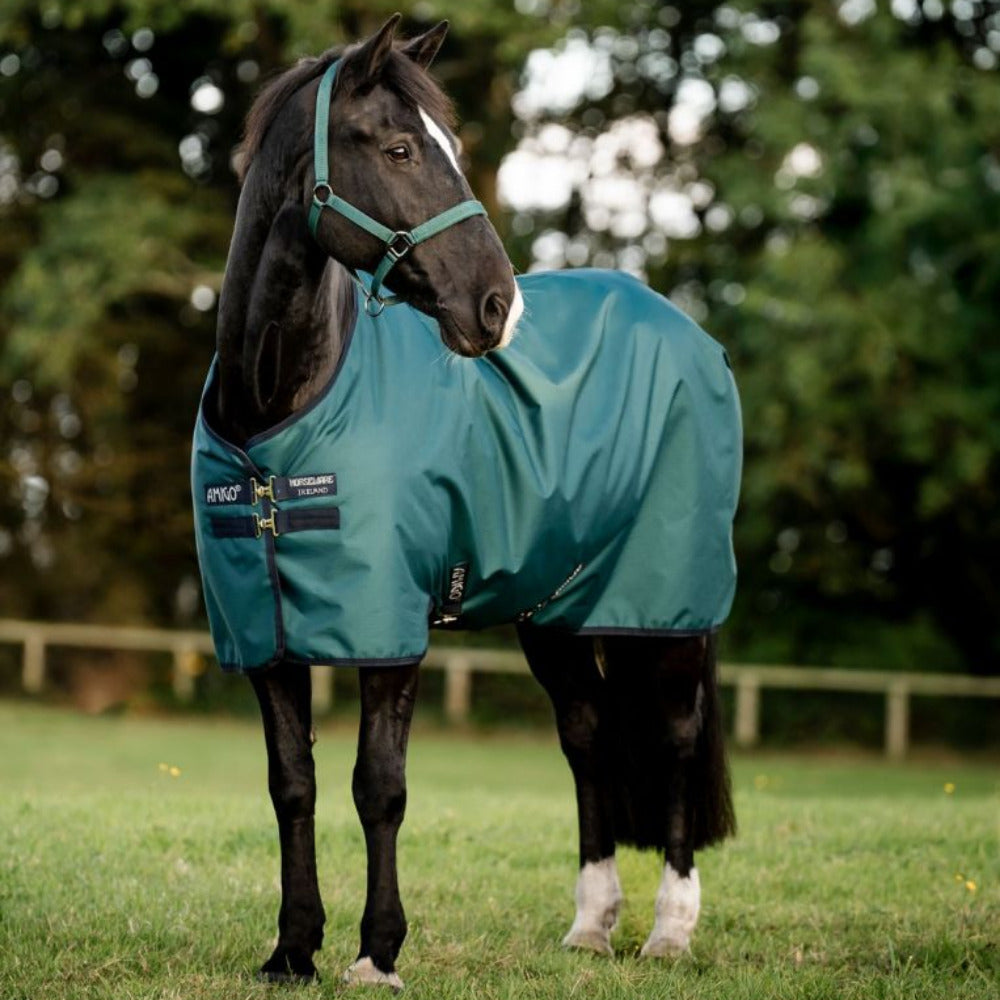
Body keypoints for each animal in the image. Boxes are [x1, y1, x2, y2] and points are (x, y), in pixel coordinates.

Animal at [192, 15, 739, 988]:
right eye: (401, 148)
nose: (497, 308)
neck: (276, 419)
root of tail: (688, 331)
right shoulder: (265, 634)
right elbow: (292, 785)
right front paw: (292, 950)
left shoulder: (390, 630)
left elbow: (379, 787)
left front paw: (377, 953)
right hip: (556, 613)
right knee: (587, 735)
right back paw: (591, 925)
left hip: (669, 608)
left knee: (674, 739)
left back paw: (670, 929)